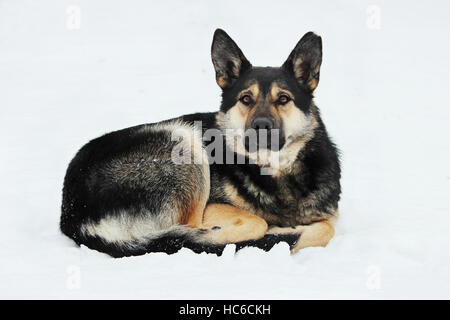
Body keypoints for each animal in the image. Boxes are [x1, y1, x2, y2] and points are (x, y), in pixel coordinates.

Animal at [60, 28, 342, 258]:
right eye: (246, 99)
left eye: (283, 99)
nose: (261, 127)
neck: (275, 172)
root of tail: (73, 214)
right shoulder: (212, 207)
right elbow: (261, 223)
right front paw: (278, 232)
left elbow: (327, 227)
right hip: (183, 144)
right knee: (192, 234)